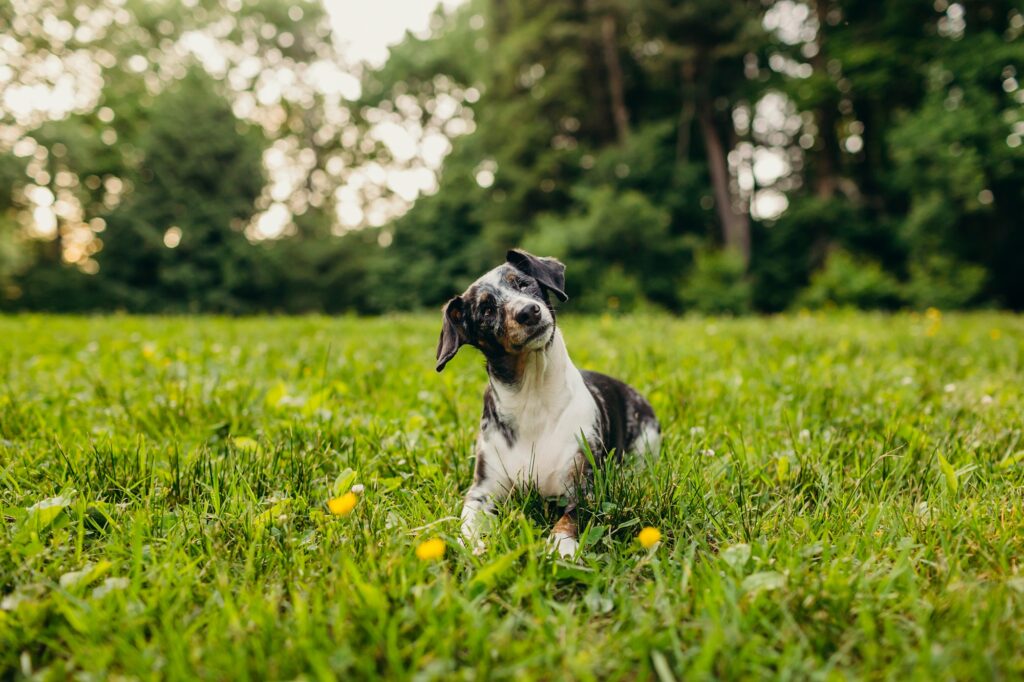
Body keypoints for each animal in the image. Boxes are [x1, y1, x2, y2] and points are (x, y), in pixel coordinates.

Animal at [434, 246, 659, 557]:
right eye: (486, 310)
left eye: (523, 284)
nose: (528, 311)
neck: (533, 398)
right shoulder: (483, 489)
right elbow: (468, 518)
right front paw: (473, 544)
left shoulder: (585, 484)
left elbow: (570, 516)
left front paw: (561, 544)